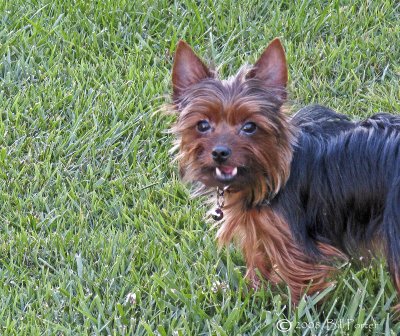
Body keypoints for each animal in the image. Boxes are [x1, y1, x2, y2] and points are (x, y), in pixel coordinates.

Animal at [168, 37, 400, 308]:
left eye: (250, 126)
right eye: (202, 125)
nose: (220, 152)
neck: (268, 173)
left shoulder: (293, 240)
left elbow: (301, 281)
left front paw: (300, 312)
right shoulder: (258, 228)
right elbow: (258, 261)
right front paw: (251, 293)